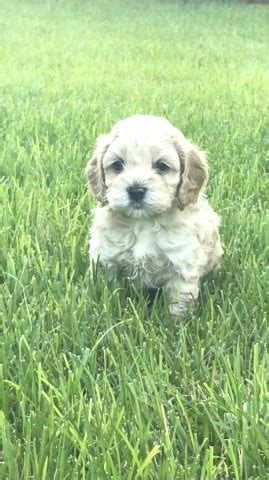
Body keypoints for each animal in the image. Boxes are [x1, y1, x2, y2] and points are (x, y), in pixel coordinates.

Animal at [84, 115, 222, 316]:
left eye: (161, 166)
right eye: (117, 165)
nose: (136, 190)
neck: (143, 222)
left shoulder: (182, 267)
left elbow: (177, 306)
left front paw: (175, 324)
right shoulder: (106, 260)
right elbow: (105, 293)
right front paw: (104, 309)